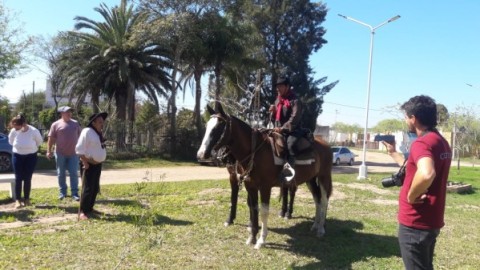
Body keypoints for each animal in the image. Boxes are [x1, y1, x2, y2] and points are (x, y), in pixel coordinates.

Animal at [197, 101, 332, 249]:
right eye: (207, 126)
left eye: (218, 127)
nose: (201, 154)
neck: (255, 151)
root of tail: (326, 144)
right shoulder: (249, 185)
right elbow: (253, 209)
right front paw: (252, 237)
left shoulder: (265, 187)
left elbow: (263, 211)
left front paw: (261, 240)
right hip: (311, 179)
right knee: (317, 199)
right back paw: (315, 225)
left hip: (324, 177)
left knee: (324, 200)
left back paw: (321, 229)